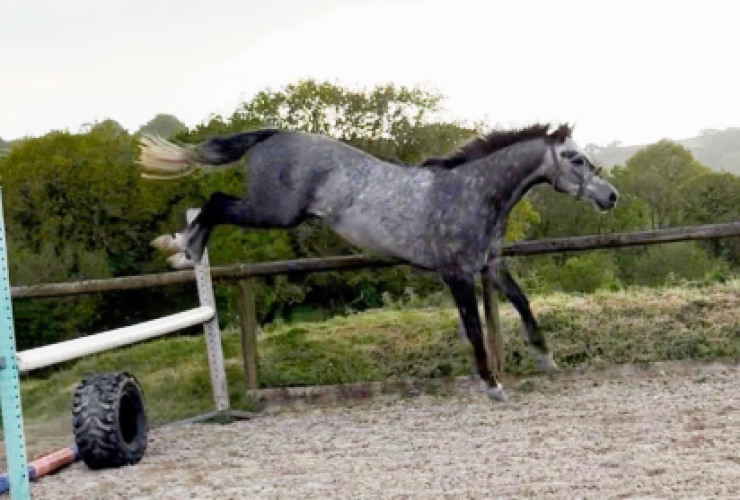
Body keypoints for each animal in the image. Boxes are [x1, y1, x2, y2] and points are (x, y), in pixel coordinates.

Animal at [137, 123, 618, 402]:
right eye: (575, 158)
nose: (610, 196)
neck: (473, 192)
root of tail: (274, 135)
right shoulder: (457, 275)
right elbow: (476, 330)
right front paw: (492, 384)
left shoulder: (488, 267)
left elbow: (522, 302)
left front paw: (544, 357)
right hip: (273, 210)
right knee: (216, 204)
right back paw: (182, 250)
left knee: (214, 205)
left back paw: (180, 249)